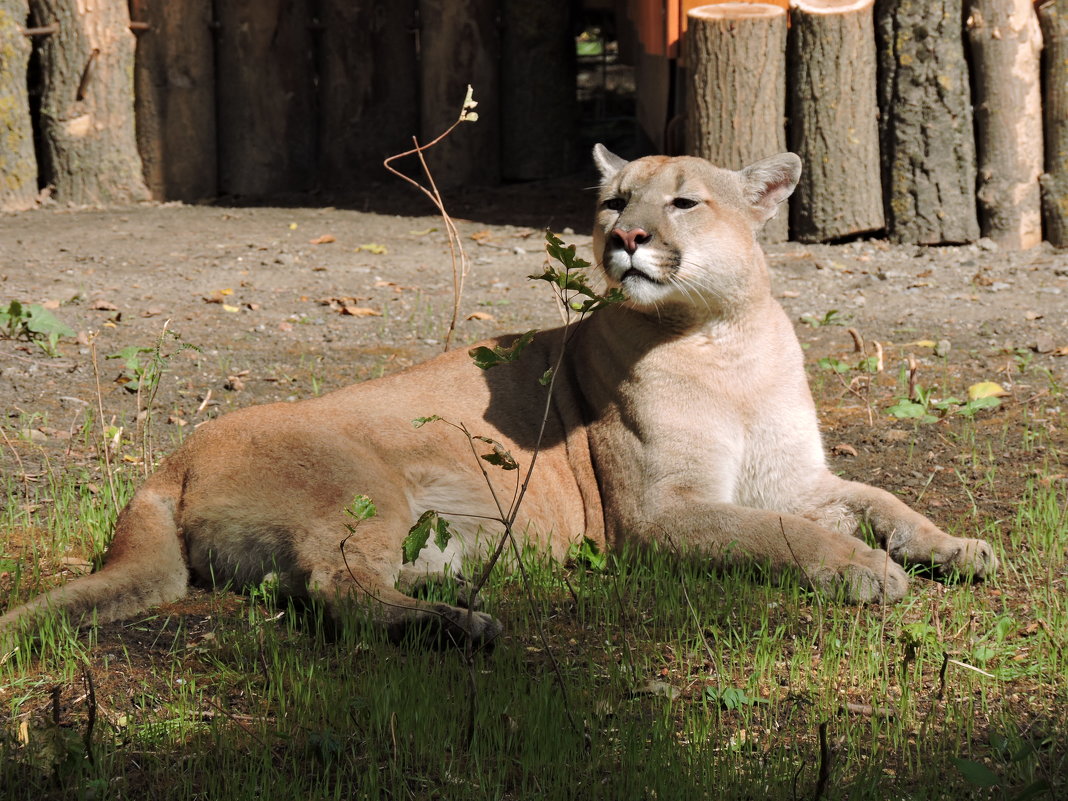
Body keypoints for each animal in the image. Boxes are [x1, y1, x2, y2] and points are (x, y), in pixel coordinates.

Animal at [0, 147, 995, 649]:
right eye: (613, 201)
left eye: (681, 203)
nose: (627, 238)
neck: (726, 336)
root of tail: (170, 459)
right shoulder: (661, 513)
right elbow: (782, 533)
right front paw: (864, 571)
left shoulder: (796, 477)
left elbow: (884, 500)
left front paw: (957, 548)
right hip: (365, 485)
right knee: (332, 588)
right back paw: (461, 626)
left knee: (322, 584)